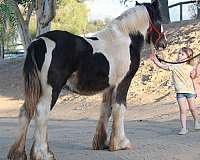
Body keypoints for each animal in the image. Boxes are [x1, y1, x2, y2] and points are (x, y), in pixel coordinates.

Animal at [7, 0, 167, 159]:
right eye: (159, 20)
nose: (163, 44)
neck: (125, 39)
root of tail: (37, 42)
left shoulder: (110, 86)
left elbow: (106, 109)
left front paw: (102, 143)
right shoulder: (123, 81)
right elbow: (119, 108)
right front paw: (121, 143)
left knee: (25, 112)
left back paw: (18, 153)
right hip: (51, 90)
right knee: (41, 113)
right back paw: (44, 154)